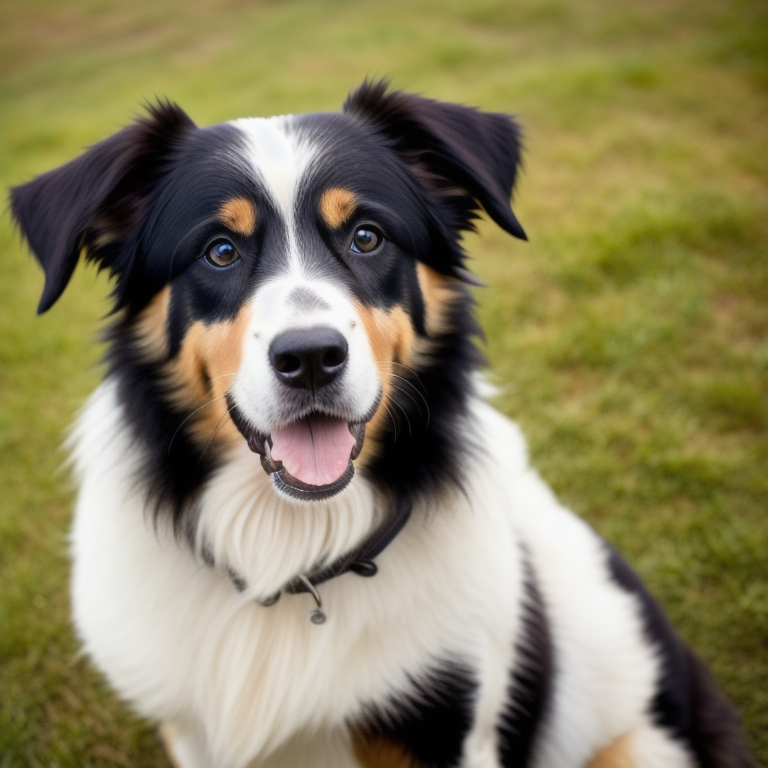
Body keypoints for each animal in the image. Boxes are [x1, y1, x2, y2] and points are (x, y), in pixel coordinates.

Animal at [9, 81, 752, 764]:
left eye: (367, 237)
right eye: (220, 250)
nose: (311, 358)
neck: (294, 550)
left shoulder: (446, 719)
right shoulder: (191, 731)